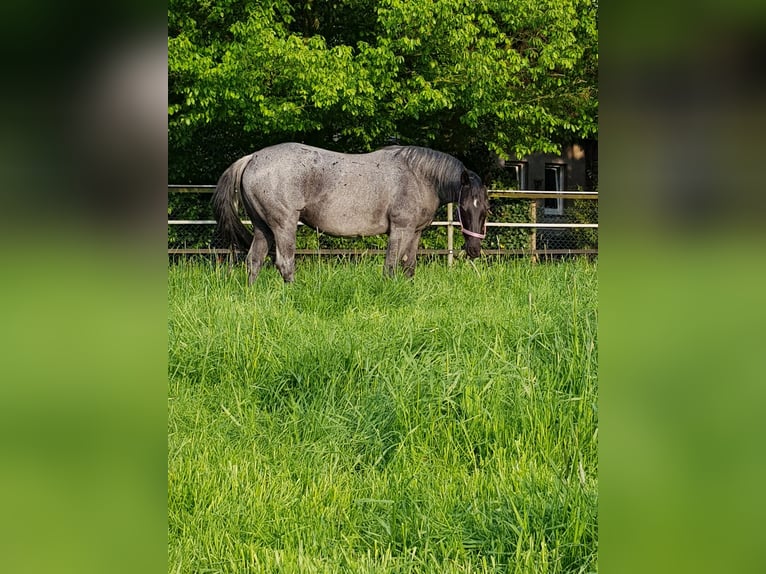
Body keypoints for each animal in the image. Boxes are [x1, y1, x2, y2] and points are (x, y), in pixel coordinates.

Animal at [212, 143, 489, 283]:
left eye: (485, 211)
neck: (418, 176)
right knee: (285, 263)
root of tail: (251, 158)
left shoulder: (415, 232)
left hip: (263, 228)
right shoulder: (400, 229)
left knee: (254, 262)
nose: (474, 251)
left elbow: (409, 266)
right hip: (283, 226)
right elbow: (390, 266)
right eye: (464, 209)